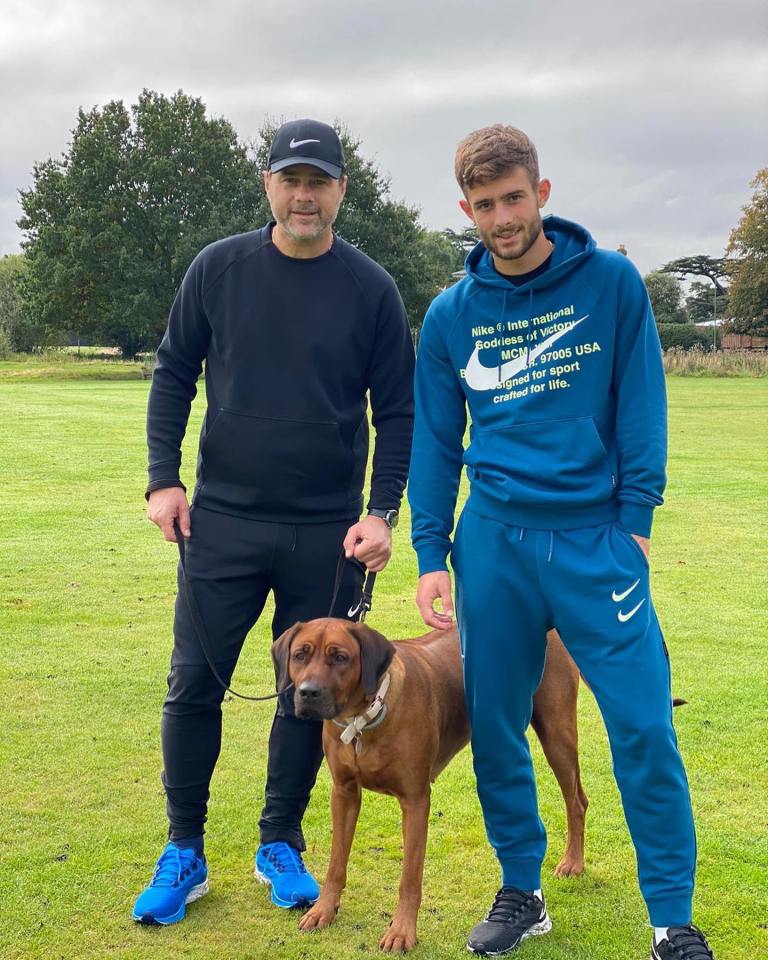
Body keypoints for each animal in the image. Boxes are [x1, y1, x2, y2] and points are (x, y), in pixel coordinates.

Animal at [272, 624, 584, 952]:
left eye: (340, 657)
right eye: (300, 655)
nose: (308, 692)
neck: (363, 719)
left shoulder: (416, 800)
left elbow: (409, 878)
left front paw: (401, 931)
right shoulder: (343, 792)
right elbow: (336, 863)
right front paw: (323, 910)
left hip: (556, 733)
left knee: (577, 800)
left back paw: (572, 863)